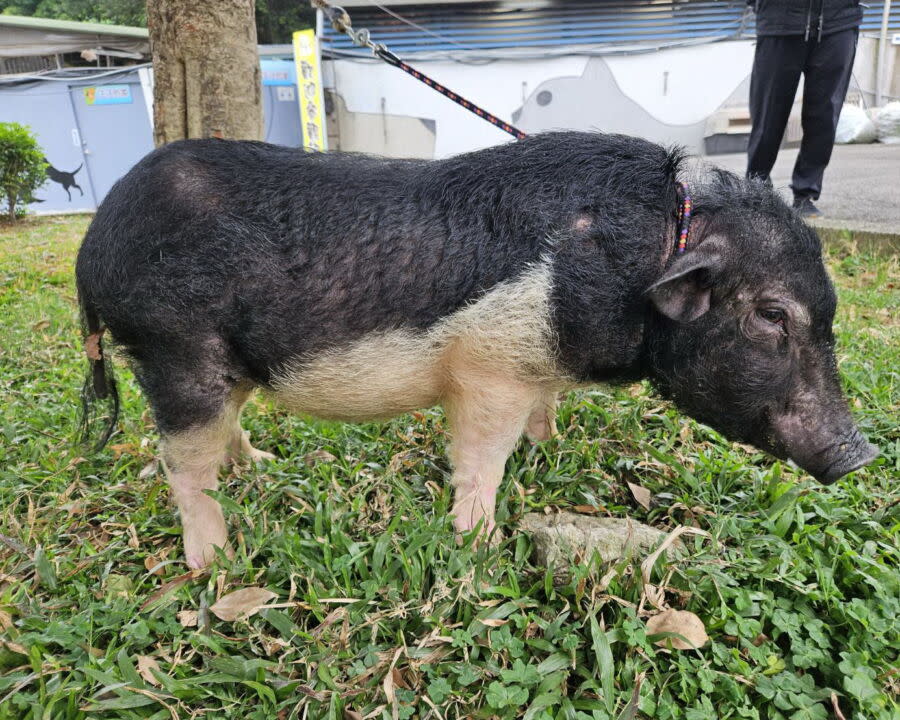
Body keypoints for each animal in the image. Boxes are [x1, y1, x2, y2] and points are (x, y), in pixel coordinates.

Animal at [77, 131, 880, 568]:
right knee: (182, 464)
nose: (861, 454)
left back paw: (262, 466)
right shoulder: (488, 366)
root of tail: (96, 241)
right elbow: (481, 456)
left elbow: (542, 416)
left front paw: (548, 448)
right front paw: (484, 544)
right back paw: (216, 564)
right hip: (173, 347)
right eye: (774, 315)